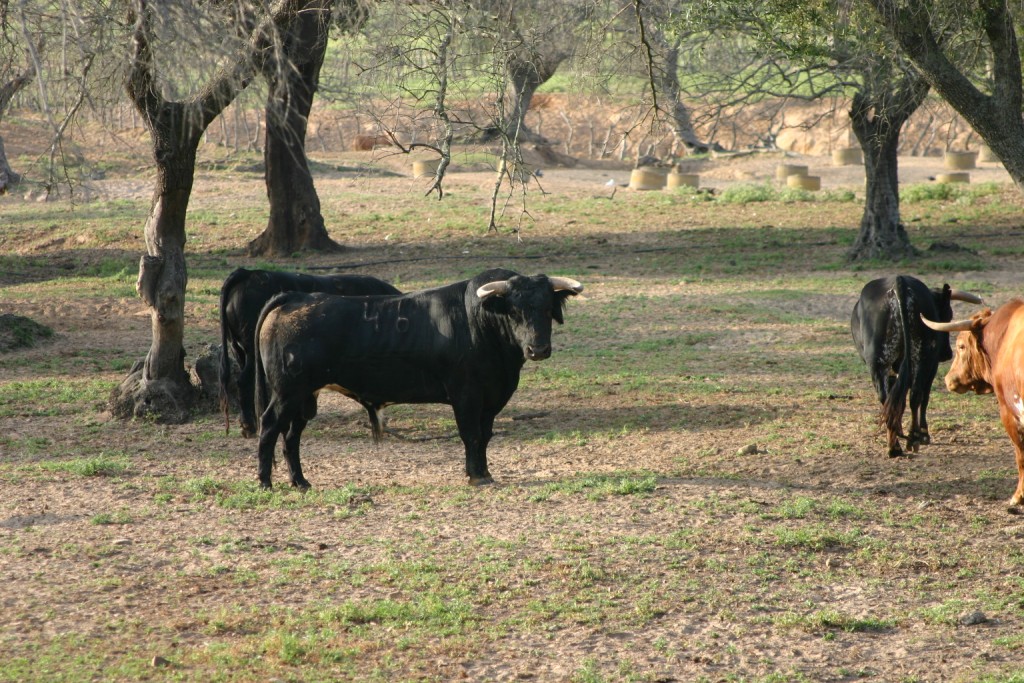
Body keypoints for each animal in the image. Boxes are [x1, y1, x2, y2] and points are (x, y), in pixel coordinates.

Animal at [251, 268, 581, 491]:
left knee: (291, 436)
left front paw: (485, 473)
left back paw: (300, 481)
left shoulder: (490, 398)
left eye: (547, 309)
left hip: (305, 396)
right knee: (270, 427)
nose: (538, 349)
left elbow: (485, 435)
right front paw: (476, 476)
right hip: (286, 393)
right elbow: (471, 435)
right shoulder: (466, 396)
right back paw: (265, 482)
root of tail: (295, 297)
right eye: (513, 311)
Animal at [847, 274, 983, 456]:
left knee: (887, 398)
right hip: (921, 358)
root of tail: (899, 282)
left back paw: (895, 446)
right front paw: (924, 433)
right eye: (948, 315)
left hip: (880, 364)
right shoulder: (931, 366)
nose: (947, 353)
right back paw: (913, 438)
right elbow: (923, 397)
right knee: (916, 395)